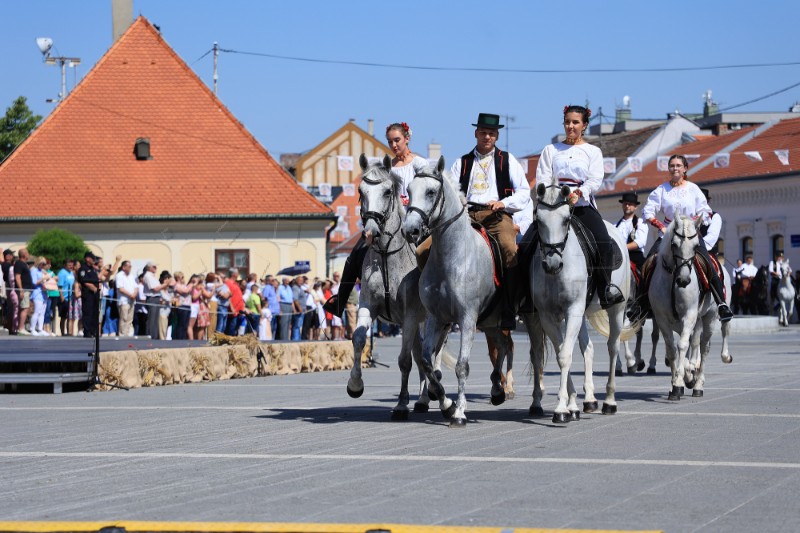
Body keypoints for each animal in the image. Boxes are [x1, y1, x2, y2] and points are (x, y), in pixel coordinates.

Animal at [348, 152, 438, 418]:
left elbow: (404, 360)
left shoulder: (410, 315)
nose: (370, 231)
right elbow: (358, 339)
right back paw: (422, 400)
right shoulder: (367, 305)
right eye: (361, 191)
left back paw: (428, 394)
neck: (388, 256)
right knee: (421, 356)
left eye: (388, 192)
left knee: (429, 354)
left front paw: (400, 404)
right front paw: (355, 385)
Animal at [404, 156, 516, 426]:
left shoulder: (466, 319)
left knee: (506, 347)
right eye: (409, 191)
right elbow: (428, 363)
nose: (410, 230)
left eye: (431, 192)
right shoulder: (435, 318)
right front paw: (444, 401)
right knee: (501, 347)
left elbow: (462, 367)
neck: (452, 257)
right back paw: (496, 390)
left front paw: (459, 412)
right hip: (489, 321)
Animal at [536, 181, 636, 422]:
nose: (552, 264)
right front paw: (570, 405)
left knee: (612, 348)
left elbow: (565, 355)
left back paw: (609, 401)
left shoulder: (572, 310)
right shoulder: (548, 316)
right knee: (587, 347)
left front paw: (561, 409)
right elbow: (564, 353)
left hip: (616, 310)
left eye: (566, 220)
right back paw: (590, 399)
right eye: (538, 220)